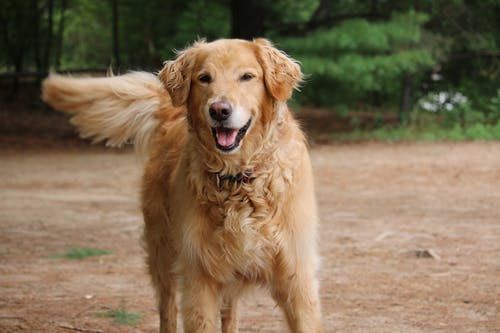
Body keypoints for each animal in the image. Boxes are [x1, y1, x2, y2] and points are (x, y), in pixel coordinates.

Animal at [44, 38, 324, 332]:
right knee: (167, 308)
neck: (238, 176)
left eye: (247, 77)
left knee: (230, 312)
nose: (219, 110)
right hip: (162, 252)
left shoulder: (297, 278)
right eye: (204, 78)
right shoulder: (199, 277)